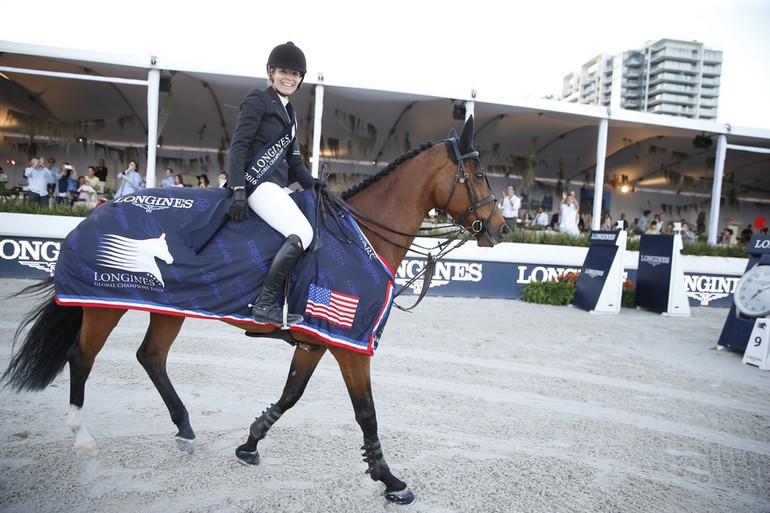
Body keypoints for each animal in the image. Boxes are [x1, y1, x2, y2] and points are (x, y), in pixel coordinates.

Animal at [3, 114, 508, 502]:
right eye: (479, 175)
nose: (501, 228)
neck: (360, 237)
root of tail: (97, 212)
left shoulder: (316, 340)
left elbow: (290, 394)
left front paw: (249, 443)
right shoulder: (348, 343)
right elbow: (366, 412)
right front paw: (390, 481)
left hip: (168, 306)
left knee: (151, 357)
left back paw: (185, 429)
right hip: (104, 305)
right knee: (82, 357)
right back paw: (83, 438)